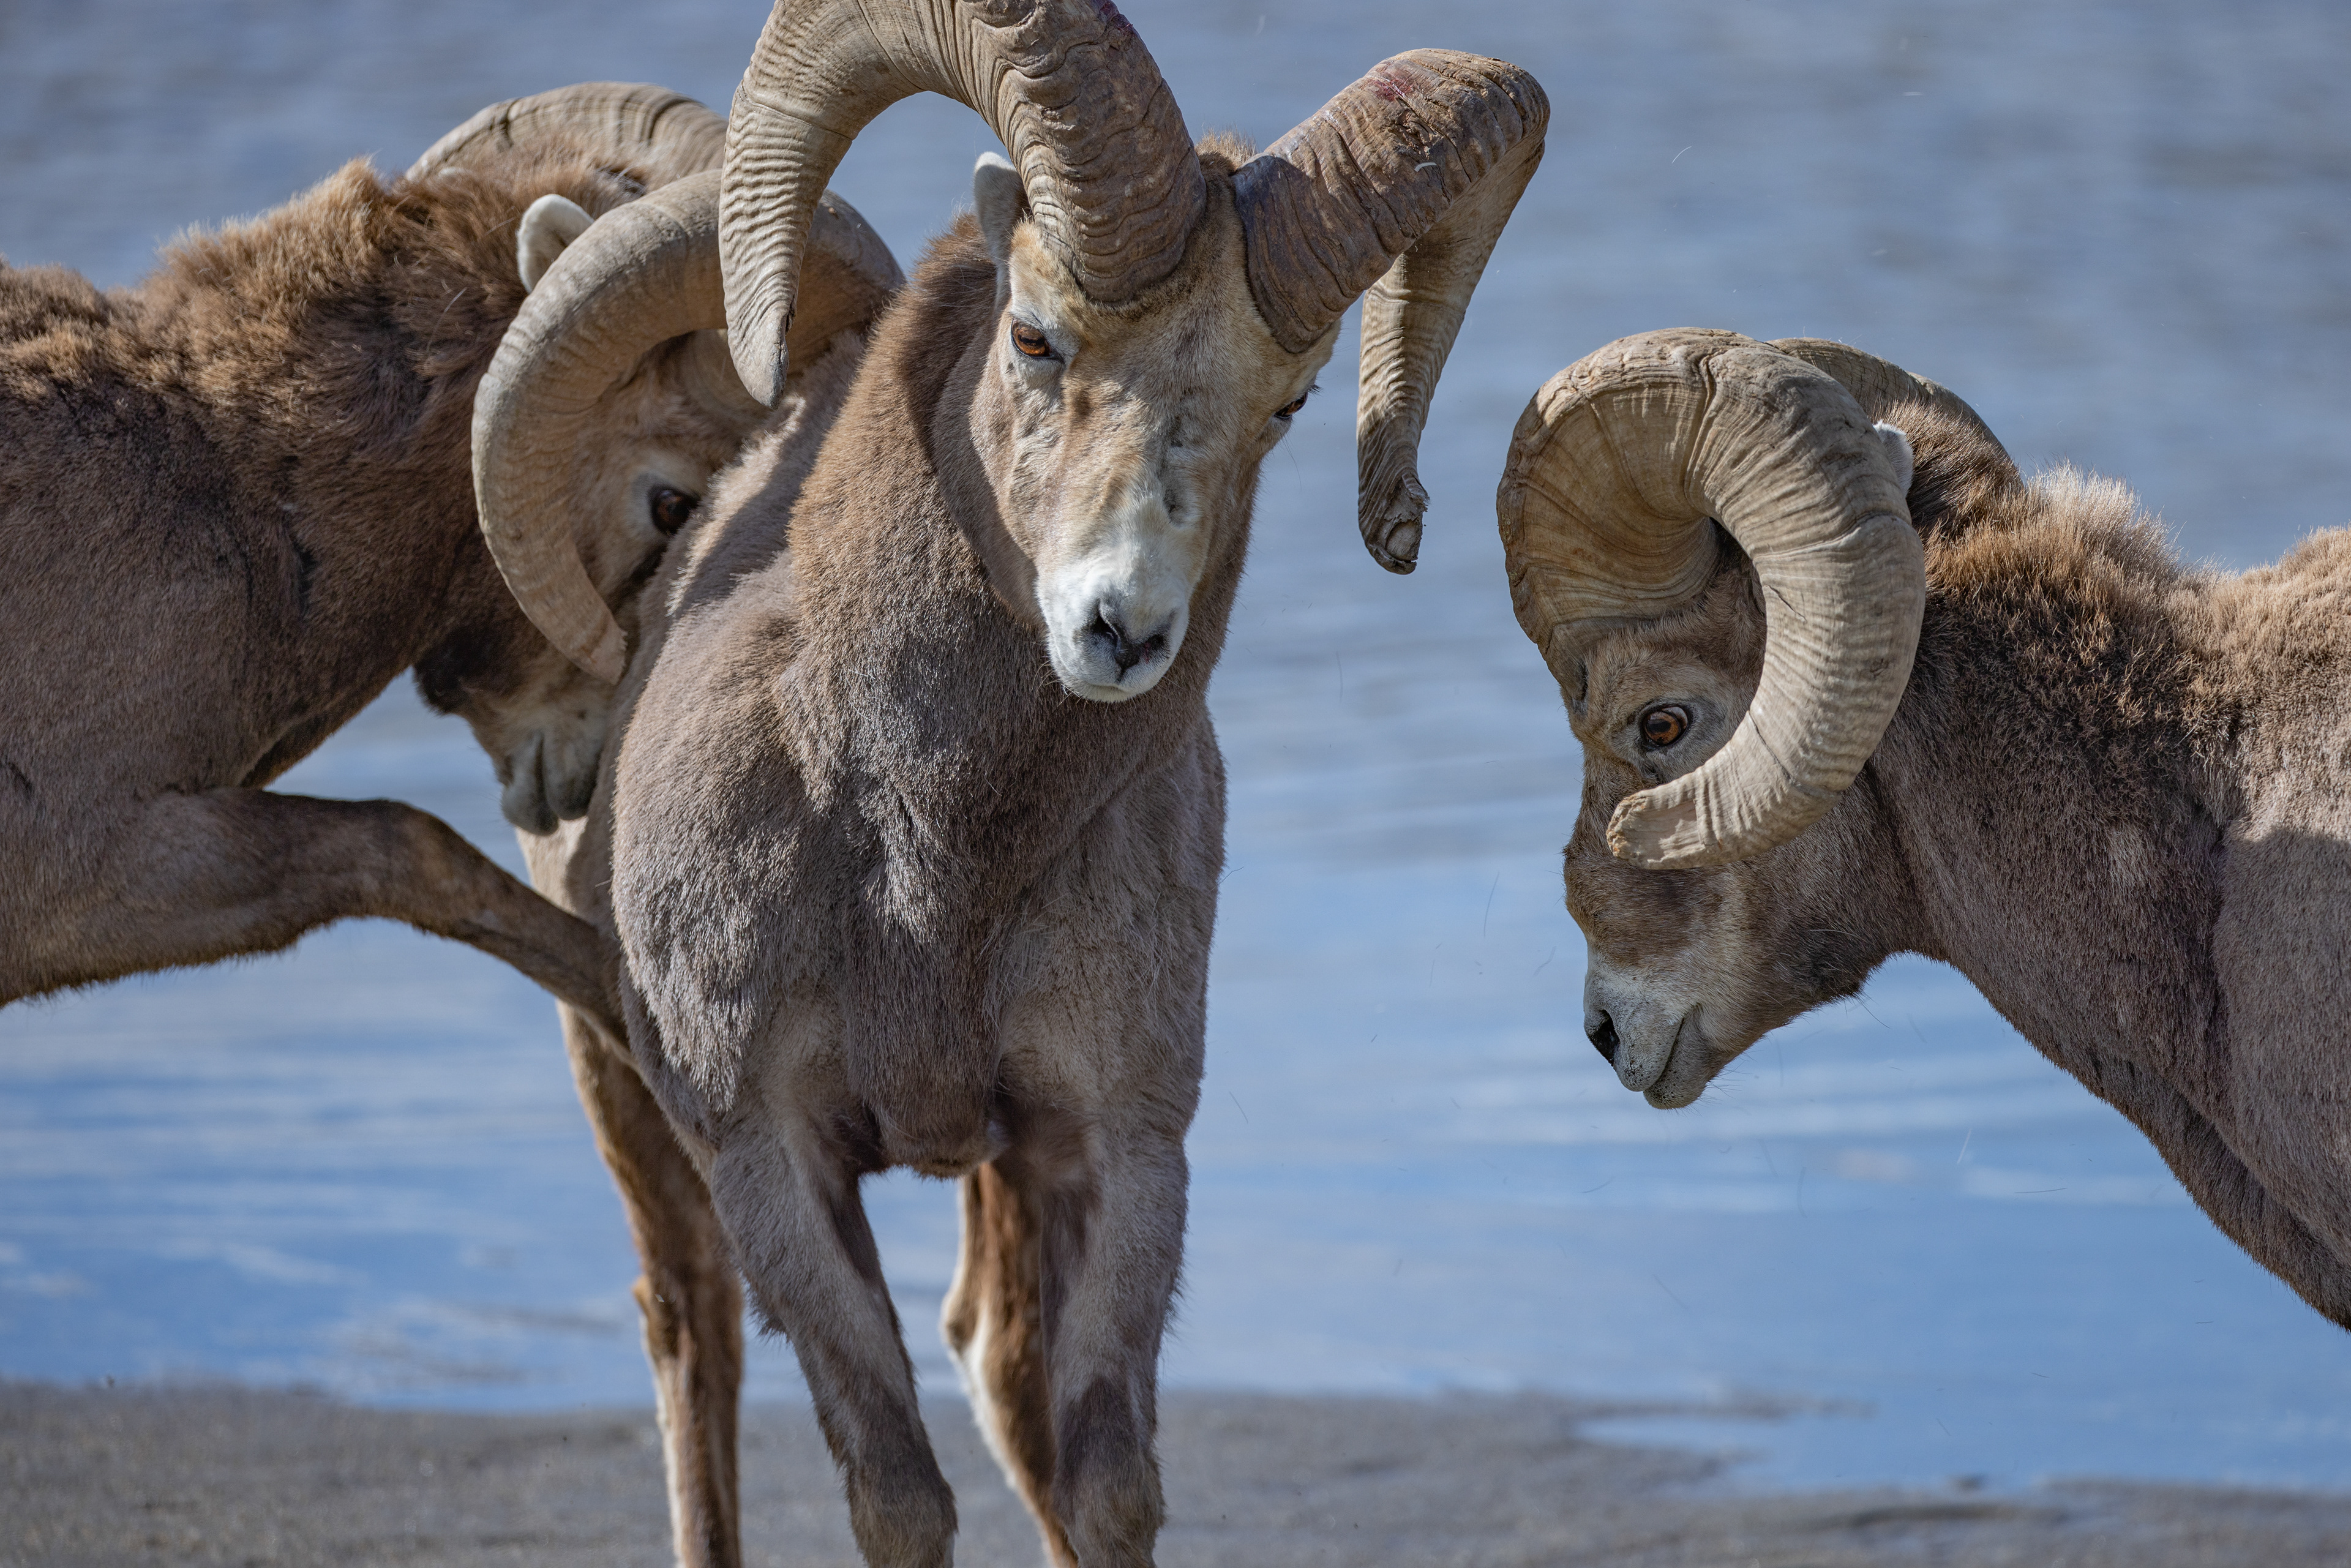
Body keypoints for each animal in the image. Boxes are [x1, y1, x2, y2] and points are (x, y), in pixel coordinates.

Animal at [469, 4, 1547, 1563]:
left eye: (1286, 402)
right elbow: (895, 1488)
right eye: (1036, 334)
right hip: (624, 1094)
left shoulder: (1111, 1138)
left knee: (992, 1351)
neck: (925, 866)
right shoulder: (769, 1153)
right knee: (692, 1334)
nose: (1122, 626)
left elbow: (1103, 1475)